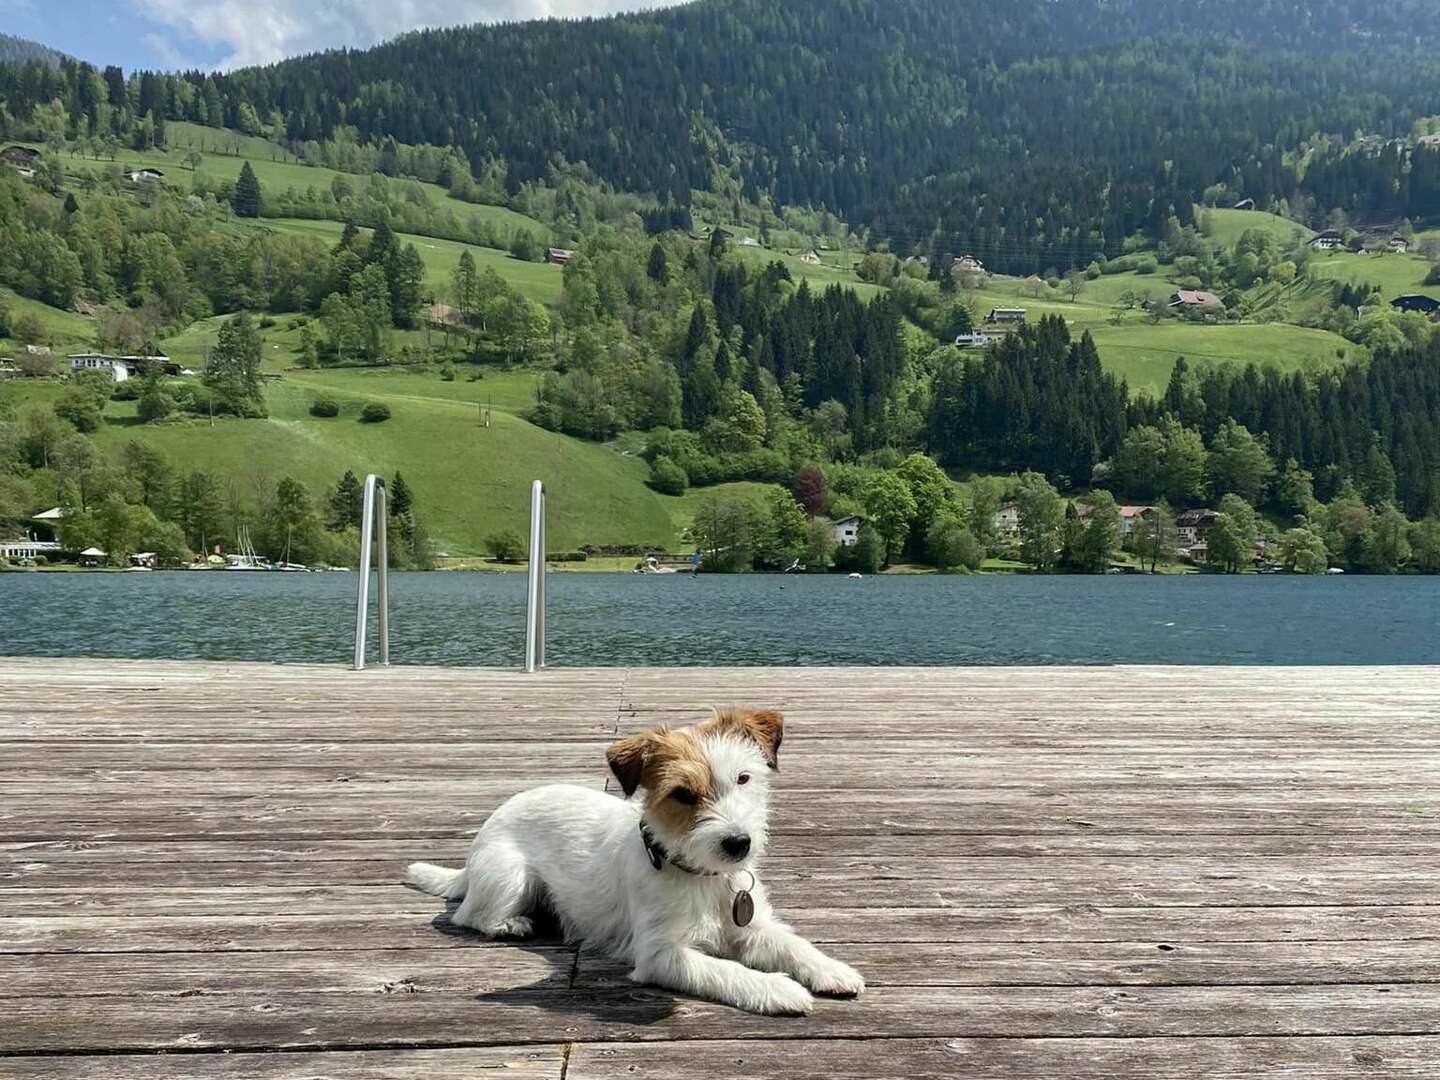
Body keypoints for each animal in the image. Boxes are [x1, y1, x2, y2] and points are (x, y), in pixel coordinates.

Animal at [400, 705, 858, 1019]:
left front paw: (832, 969)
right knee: (468, 914)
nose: (738, 843)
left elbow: (794, 945)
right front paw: (778, 989)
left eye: (744, 778)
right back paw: (509, 923)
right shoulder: (660, 954)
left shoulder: (754, 927)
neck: (702, 877)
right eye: (682, 794)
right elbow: (723, 970)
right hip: (511, 874)